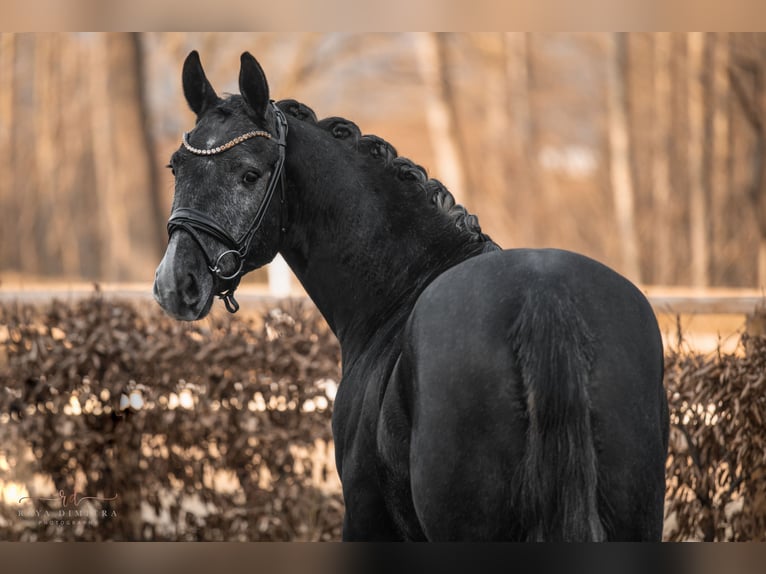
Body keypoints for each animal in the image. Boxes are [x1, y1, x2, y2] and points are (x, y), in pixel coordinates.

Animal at [153, 51, 668, 544]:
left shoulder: (365, 518)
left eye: (250, 174)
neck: (402, 288)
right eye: (176, 166)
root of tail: (546, 298)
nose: (175, 284)